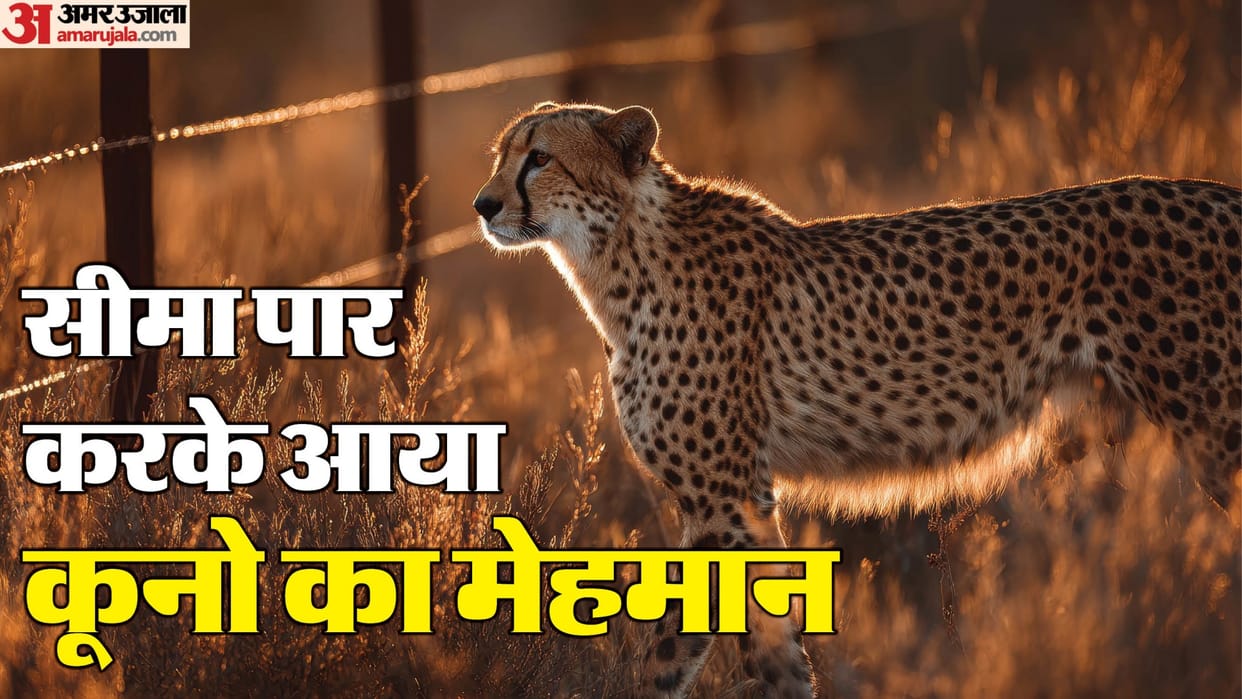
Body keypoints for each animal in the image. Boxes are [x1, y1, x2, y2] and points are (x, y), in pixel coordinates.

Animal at [473, 101, 1242, 698]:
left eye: (540, 158)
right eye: (502, 155)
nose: (483, 205)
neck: (615, 258)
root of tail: (1220, 194)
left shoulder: (727, 499)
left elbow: (735, 643)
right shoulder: (731, 501)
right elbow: (711, 645)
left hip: (1218, 432)